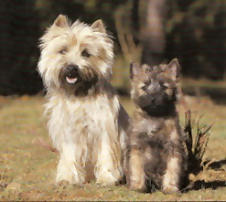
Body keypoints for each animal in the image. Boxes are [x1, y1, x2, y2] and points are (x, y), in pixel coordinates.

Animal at [127, 59, 187, 193]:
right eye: (144, 87)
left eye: (164, 86)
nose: (153, 98)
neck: (154, 117)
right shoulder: (138, 146)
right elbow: (137, 166)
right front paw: (138, 186)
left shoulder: (172, 145)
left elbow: (172, 168)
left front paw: (170, 187)